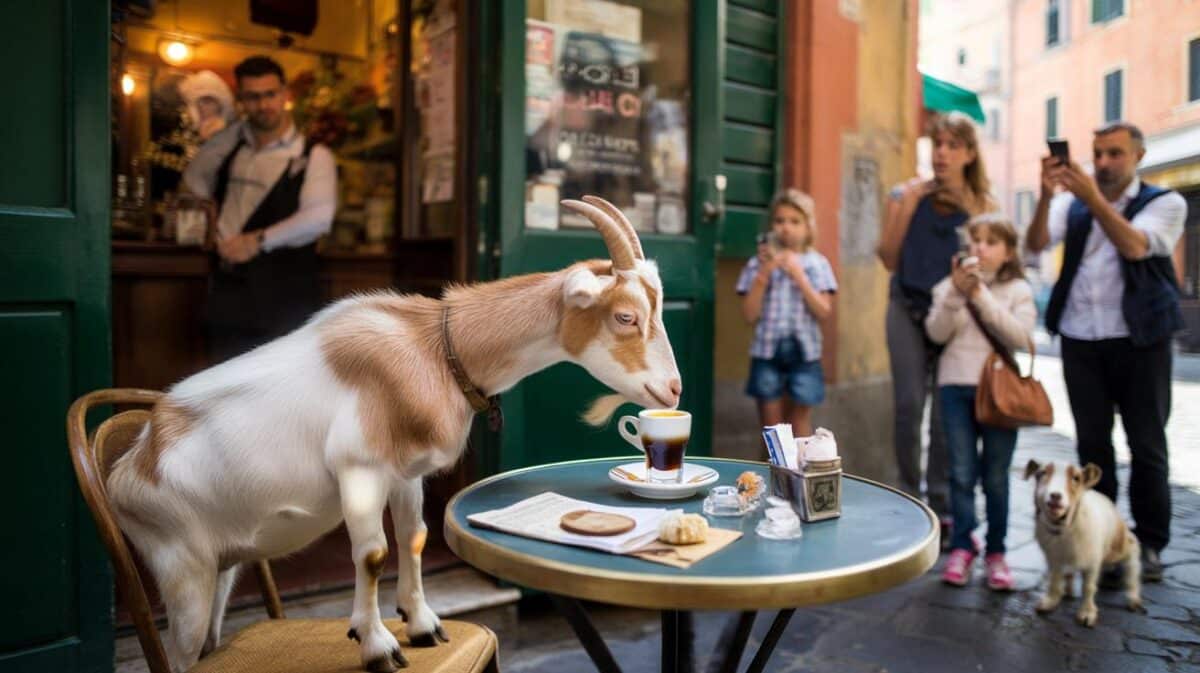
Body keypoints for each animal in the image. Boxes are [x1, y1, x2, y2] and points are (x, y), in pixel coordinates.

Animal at [105, 196, 682, 672]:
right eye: (625, 316)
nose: (673, 389)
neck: (433, 346)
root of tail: (131, 466)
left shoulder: (406, 474)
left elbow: (414, 537)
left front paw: (422, 625)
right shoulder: (359, 469)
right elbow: (372, 554)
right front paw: (378, 645)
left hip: (221, 571)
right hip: (181, 569)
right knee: (181, 653)